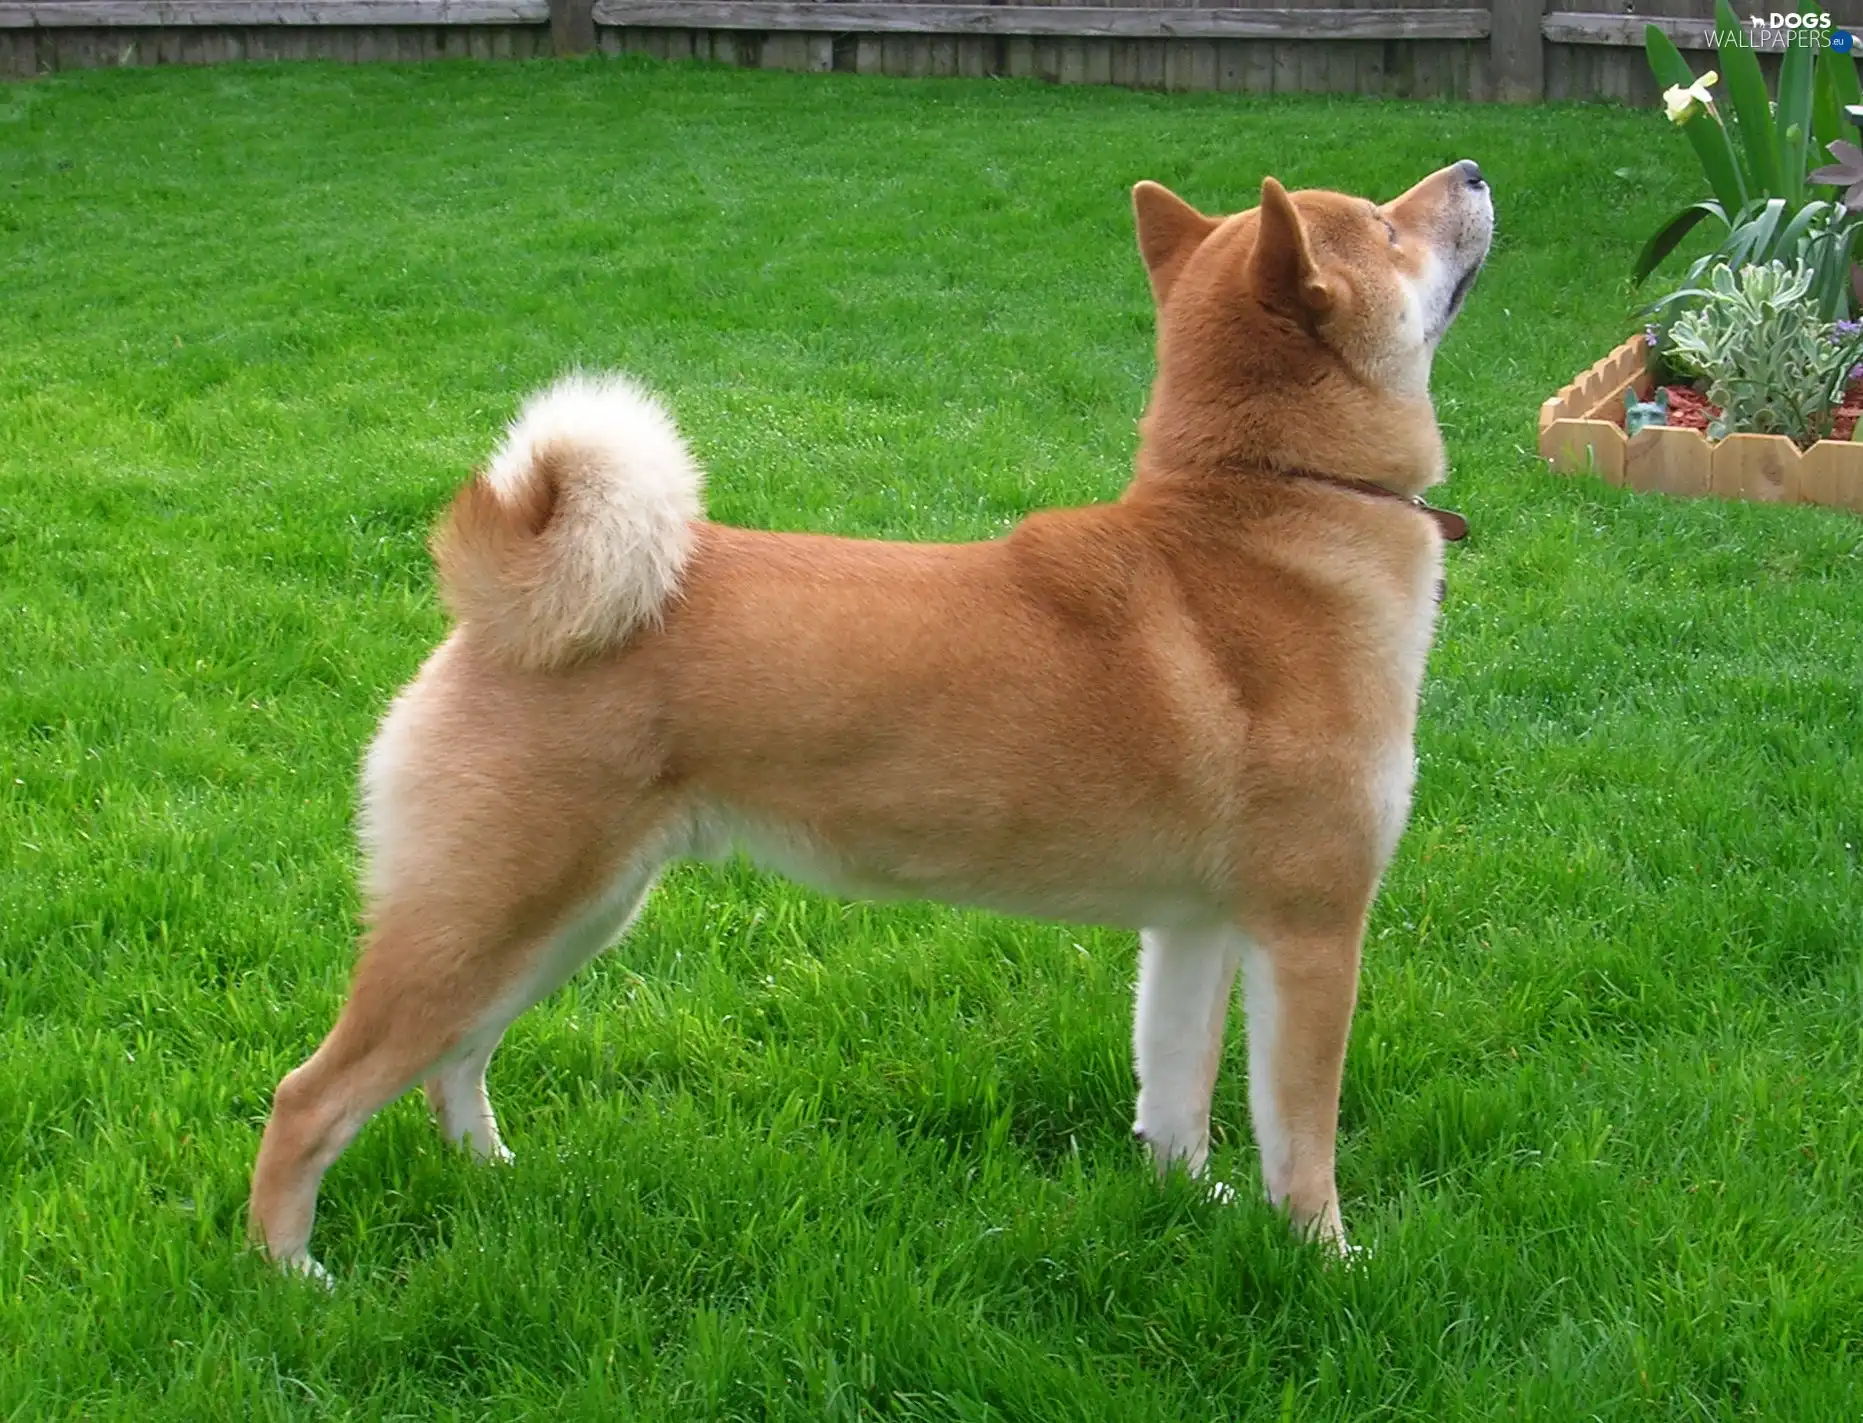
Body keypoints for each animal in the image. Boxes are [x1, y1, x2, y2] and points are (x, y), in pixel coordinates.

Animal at [251, 158, 1497, 1281]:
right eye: (1388, 228)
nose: (1476, 169)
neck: (1271, 513)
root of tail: (504, 605)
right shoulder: (1311, 928)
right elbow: (1302, 1140)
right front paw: (1331, 1262)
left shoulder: (1194, 927)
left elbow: (1176, 1098)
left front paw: (1192, 1208)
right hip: (487, 919)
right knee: (310, 1095)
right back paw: (288, 1275)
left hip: (564, 917)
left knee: (454, 1065)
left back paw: (491, 1173)